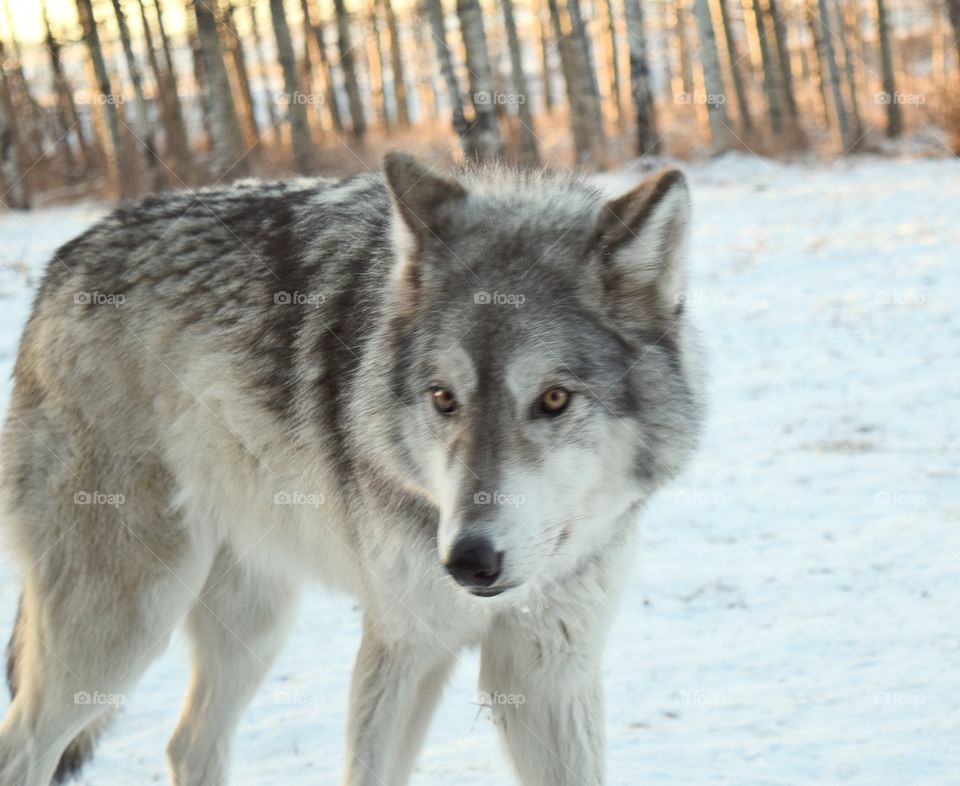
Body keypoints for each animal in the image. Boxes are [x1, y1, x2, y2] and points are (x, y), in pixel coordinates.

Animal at [0, 152, 703, 786]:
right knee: (25, 749)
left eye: (553, 399)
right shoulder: (403, 648)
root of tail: (62, 261)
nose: (468, 562)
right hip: (125, 623)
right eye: (443, 398)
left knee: (187, 746)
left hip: (255, 618)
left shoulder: (548, 669)